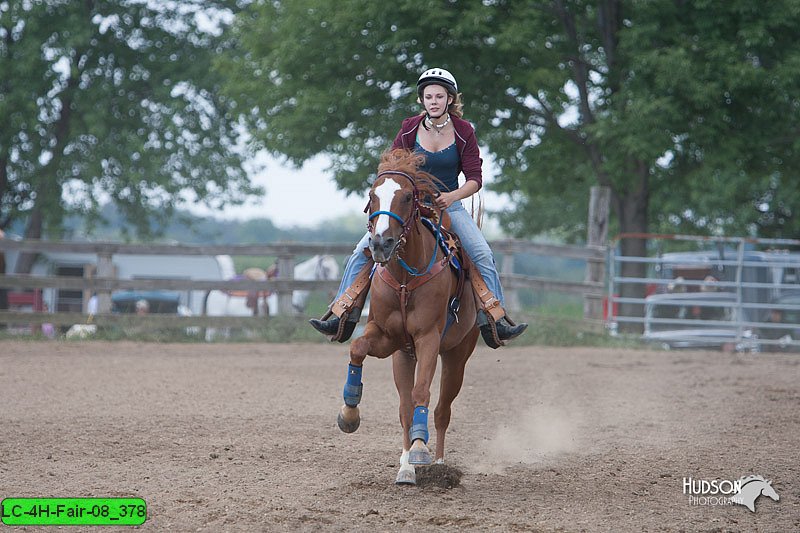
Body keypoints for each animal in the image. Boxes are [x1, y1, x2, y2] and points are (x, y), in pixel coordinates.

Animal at [334, 148, 478, 484]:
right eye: (372, 195)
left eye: (409, 196)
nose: (381, 243)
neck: (403, 280)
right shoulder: (390, 339)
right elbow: (357, 349)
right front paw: (349, 415)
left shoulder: (428, 339)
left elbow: (422, 390)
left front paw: (420, 450)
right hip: (405, 355)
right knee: (405, 407)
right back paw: (408, 466)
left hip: (457, 355)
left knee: (442, 410)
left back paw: (437, 463)